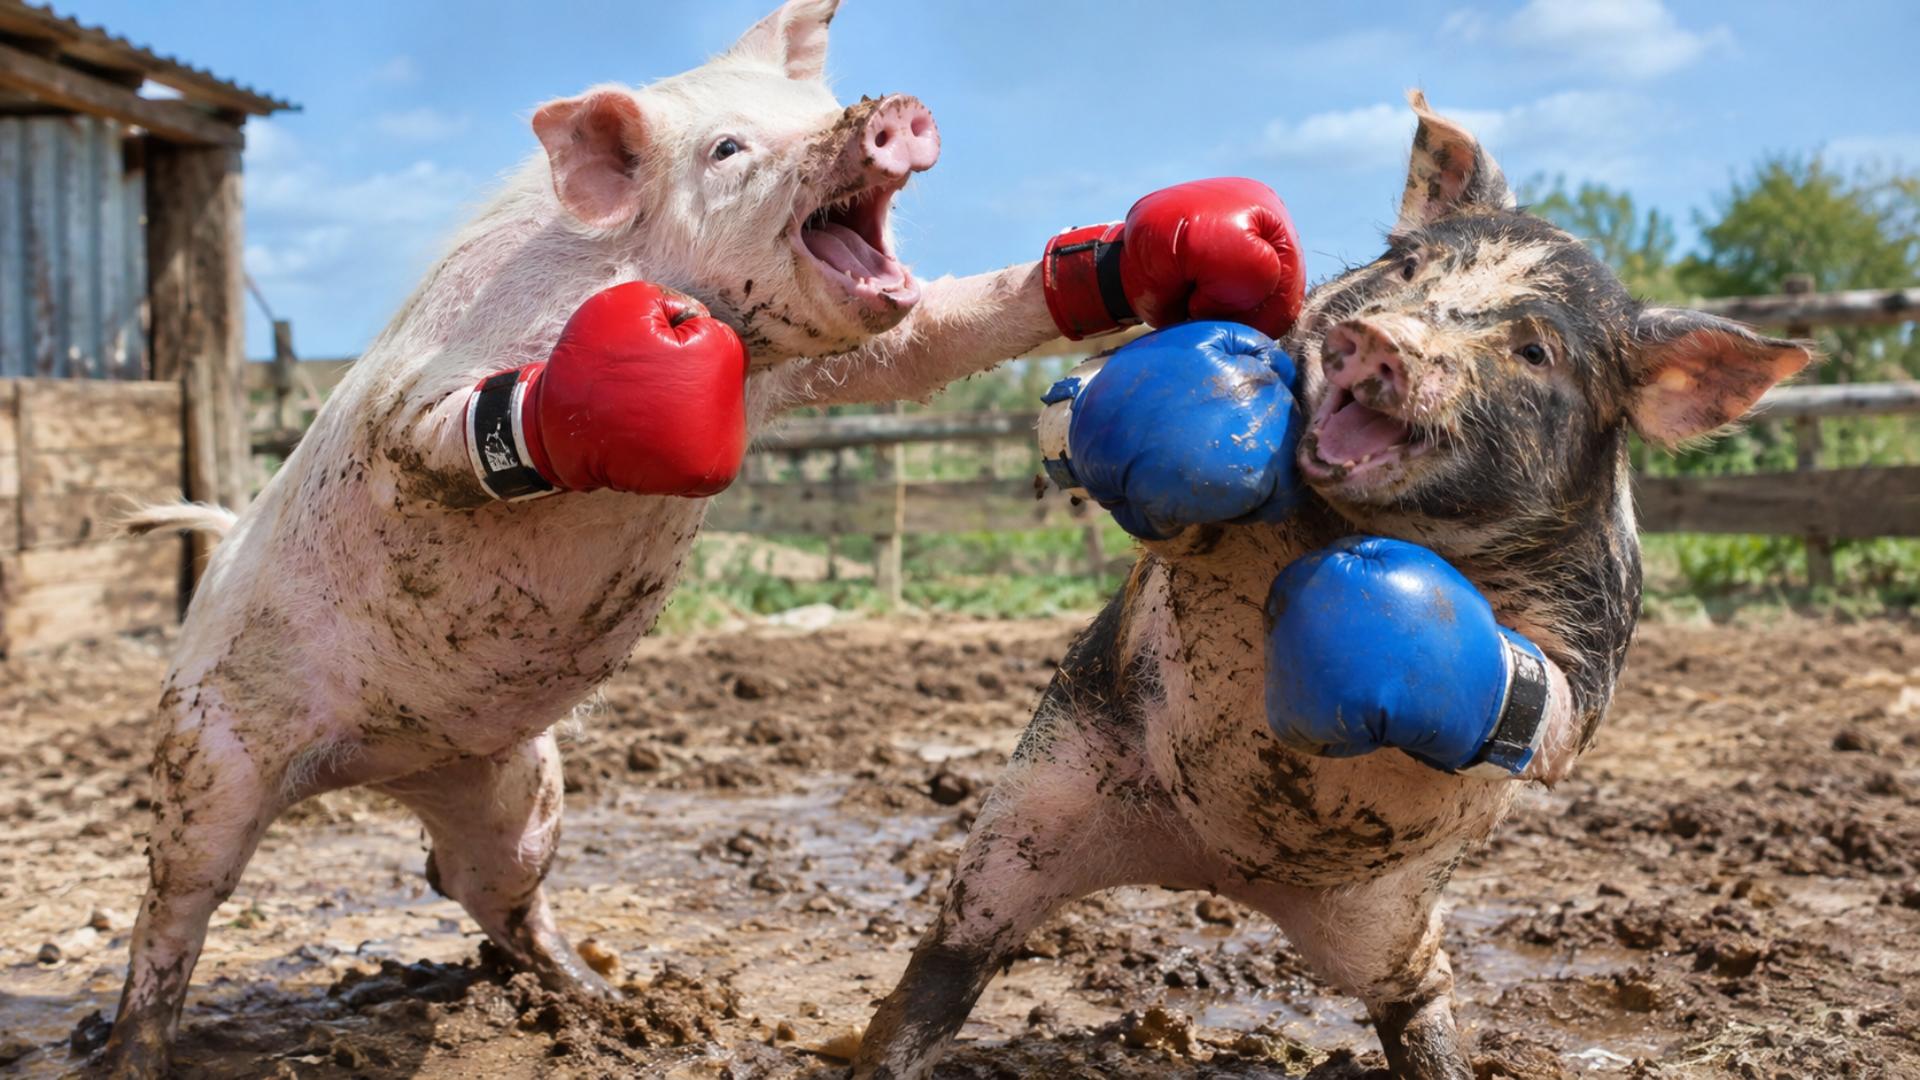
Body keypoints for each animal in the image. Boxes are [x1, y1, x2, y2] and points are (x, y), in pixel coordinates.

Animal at [98, 2, 1070, 1074]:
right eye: (727, 149)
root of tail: (368, 764)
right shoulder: (422, 394)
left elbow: (933, 341)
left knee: (486, 890)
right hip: (206, 751)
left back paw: (609, 1000)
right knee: (174, 913)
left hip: (513, 783)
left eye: (814, 107)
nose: (887, 111)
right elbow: (442, 431)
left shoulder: (824, 371)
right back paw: (130, 1052)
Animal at [854, 92, 1812, 1080]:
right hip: (1039, 806)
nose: (1385, 336)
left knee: (1419, 1005)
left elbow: (1555, 713)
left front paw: (1363, 605)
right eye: (1408, 266)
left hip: (1389, 923)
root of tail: (1213, 865)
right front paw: (1221, 388)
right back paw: (881, 1048)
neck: (1356, 527)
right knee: (952, 959)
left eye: (1535, 349)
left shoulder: (1599, 628)